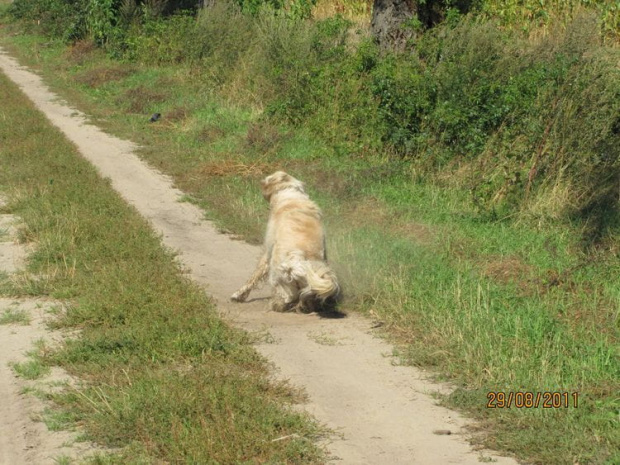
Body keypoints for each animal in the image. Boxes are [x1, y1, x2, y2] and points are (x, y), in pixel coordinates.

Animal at [231, 170, 340, 312]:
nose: (261, 182)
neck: (290, 195)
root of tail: (298, 262)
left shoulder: (268, 251)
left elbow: (255, 275)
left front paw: (238, 295)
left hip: (279, 277)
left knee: (284, 298)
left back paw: (276, 304)